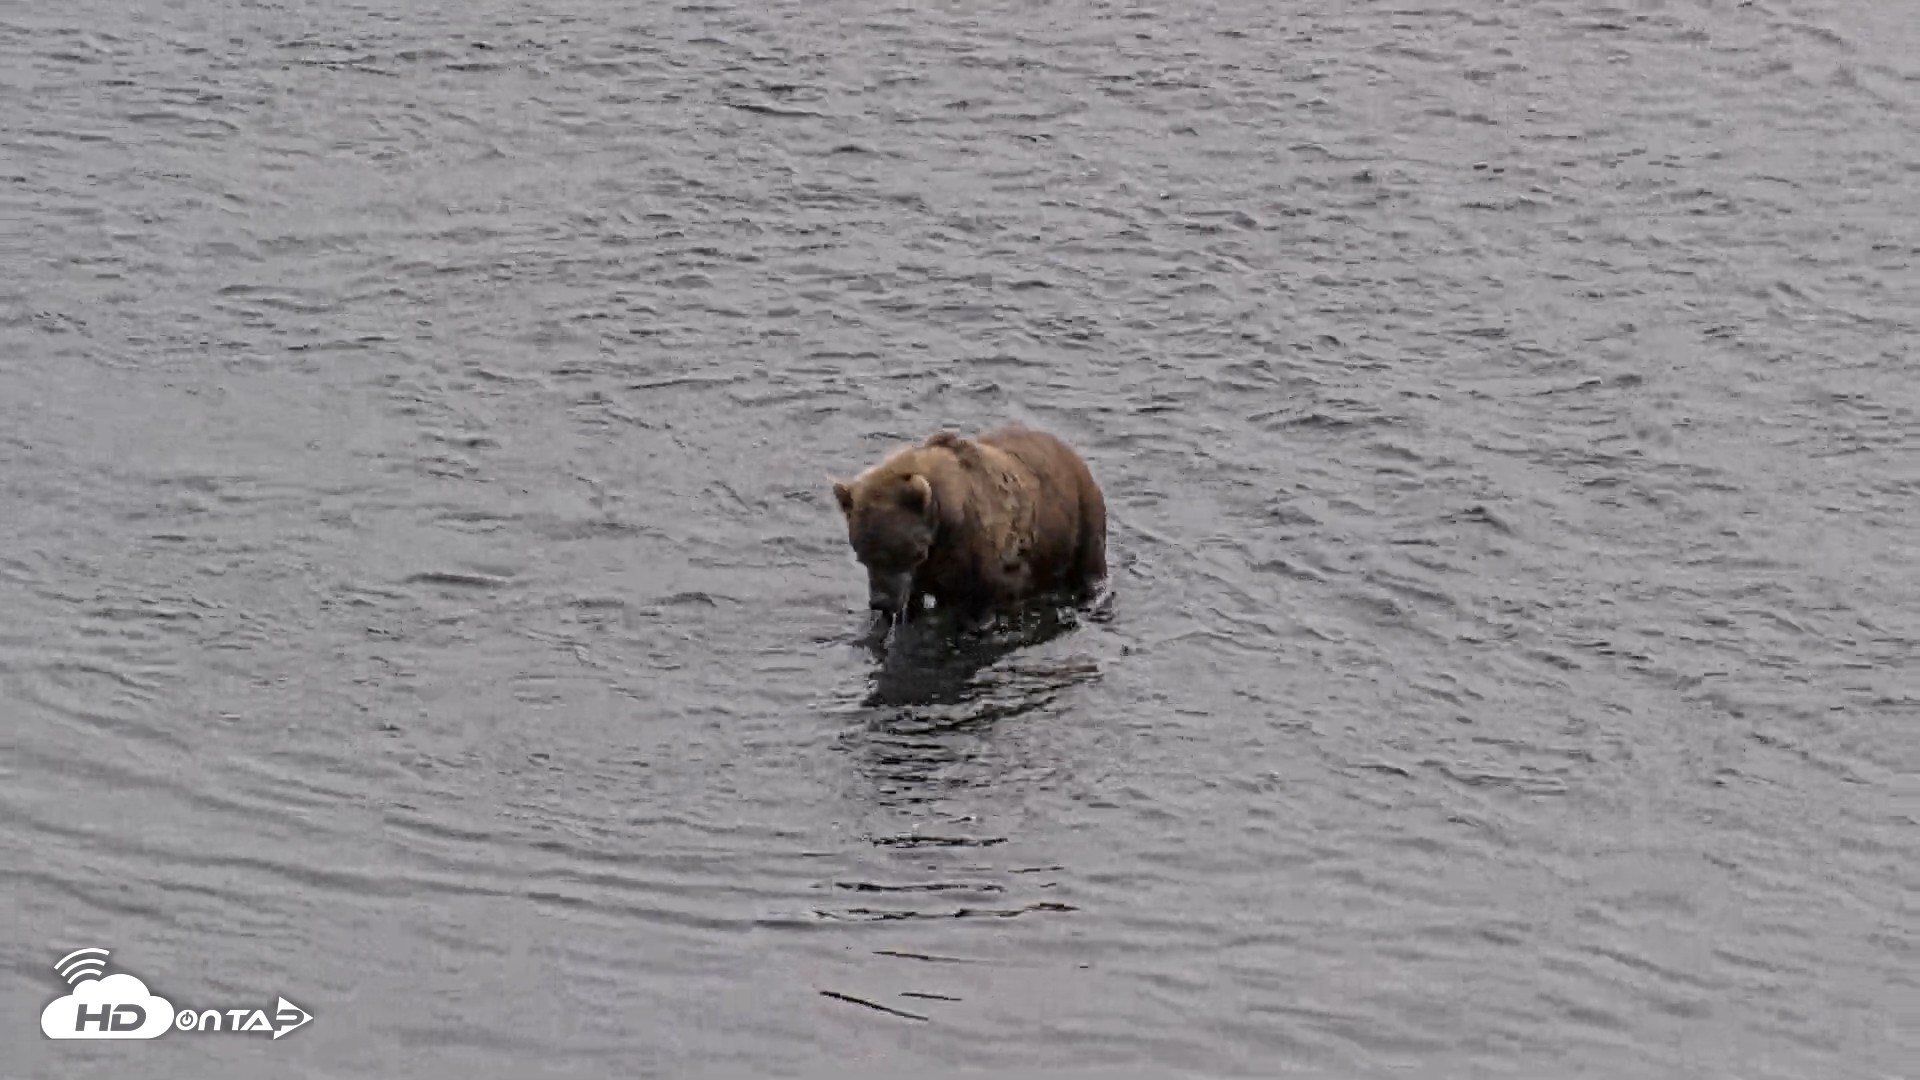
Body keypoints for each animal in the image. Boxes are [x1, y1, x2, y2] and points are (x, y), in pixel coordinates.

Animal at [831, 423, 1108, 629]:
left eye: (898, 552)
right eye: (862, 555)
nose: (881, 603)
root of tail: (1067, 449)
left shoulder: (985, 558)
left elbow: (987, 600)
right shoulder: (927, 570)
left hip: (1080, 513)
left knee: (1090, 564)